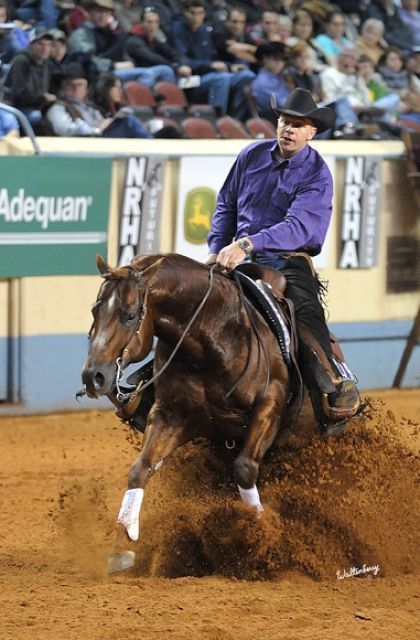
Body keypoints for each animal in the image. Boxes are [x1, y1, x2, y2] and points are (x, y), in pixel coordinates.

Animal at [81, 252, 321, 572]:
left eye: (130, 315)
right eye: (95, 310)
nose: (93, 377)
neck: (213, 336)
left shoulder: (269, 404)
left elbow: (245, 468)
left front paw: (261, 536)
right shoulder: (171, 415)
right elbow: (140, 469)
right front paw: (124, 541)